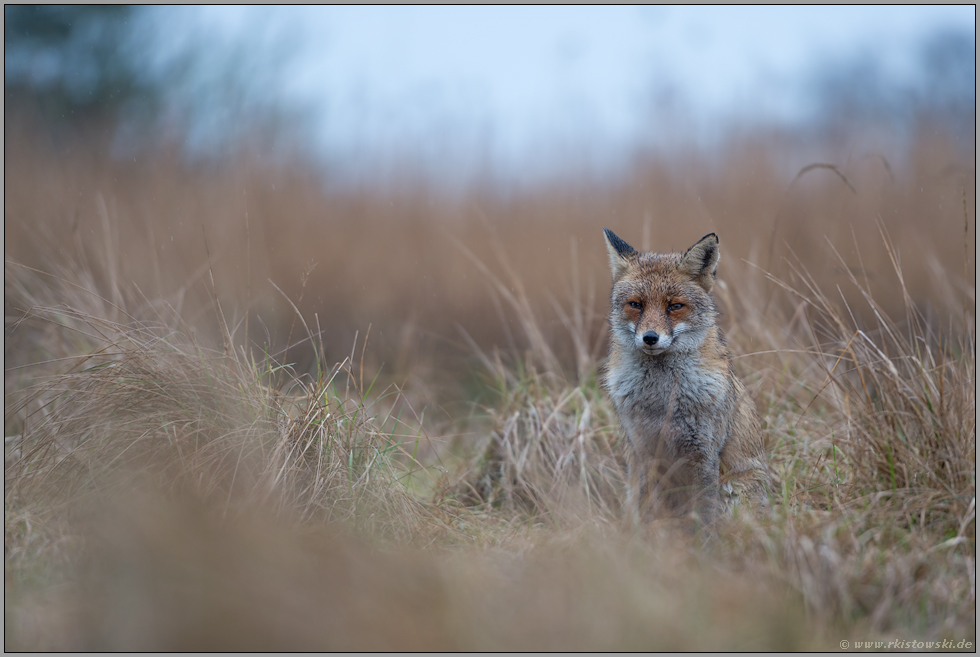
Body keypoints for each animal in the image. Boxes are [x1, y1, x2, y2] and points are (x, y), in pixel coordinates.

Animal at [596, 228, 772, 524]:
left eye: (674, 306)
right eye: (636, 304)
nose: (650, 338)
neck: (662, 401)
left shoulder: (703, 454)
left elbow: (704, 516)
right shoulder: (645, 452)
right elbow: (647, 511)